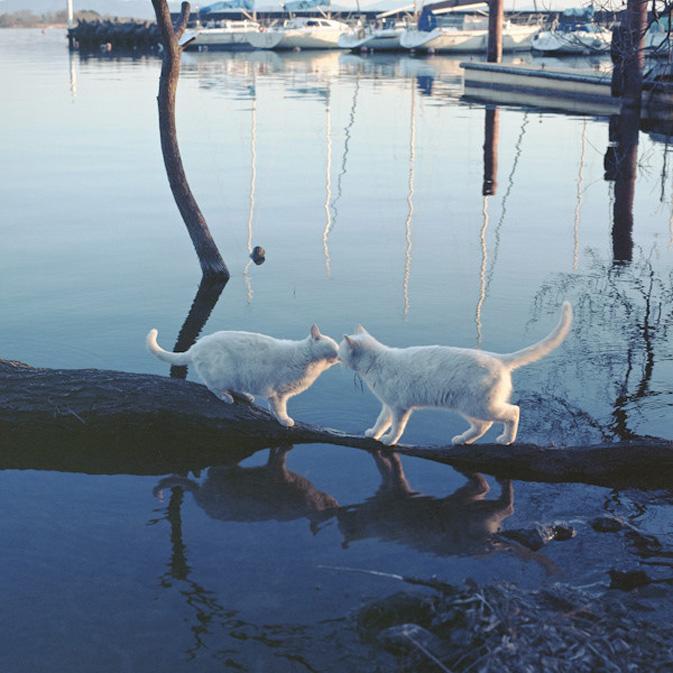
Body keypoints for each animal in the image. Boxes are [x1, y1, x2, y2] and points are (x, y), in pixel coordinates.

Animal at [145, 324, 338, 428]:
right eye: (332, 347)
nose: (339, 355)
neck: (310, 364)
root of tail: (197, 346)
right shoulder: (279, 393)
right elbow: (280, 408)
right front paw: (284, 420)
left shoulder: (277, 393)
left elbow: (273, 408)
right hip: (223, 371)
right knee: (213, 386)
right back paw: (226, 397)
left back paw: (246, 396)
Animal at [338, 304, 568, 446]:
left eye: (341, 351)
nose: (337, 357)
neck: (377, 362)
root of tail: (499, 358)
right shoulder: (388, 406)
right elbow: (381, 422)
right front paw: (374, 434)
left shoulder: (399, 408)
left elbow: (397, 427)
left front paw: (389, 439)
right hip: (468, 407)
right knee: (483, 426)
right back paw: (462, 439)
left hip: (480, 406)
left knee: (513, 411)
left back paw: (506, 439)